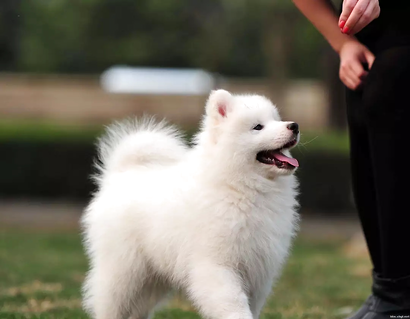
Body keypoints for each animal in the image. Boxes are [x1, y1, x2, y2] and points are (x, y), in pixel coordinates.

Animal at [81, 89, 298, 319]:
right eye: (258, 127)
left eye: (276, 119)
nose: (294, 126)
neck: (239, 186)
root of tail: (121, 173)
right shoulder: (216, 265)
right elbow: (233, 304)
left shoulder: (258, 272)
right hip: (123, 271)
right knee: (108, 303)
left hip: (152, 279)